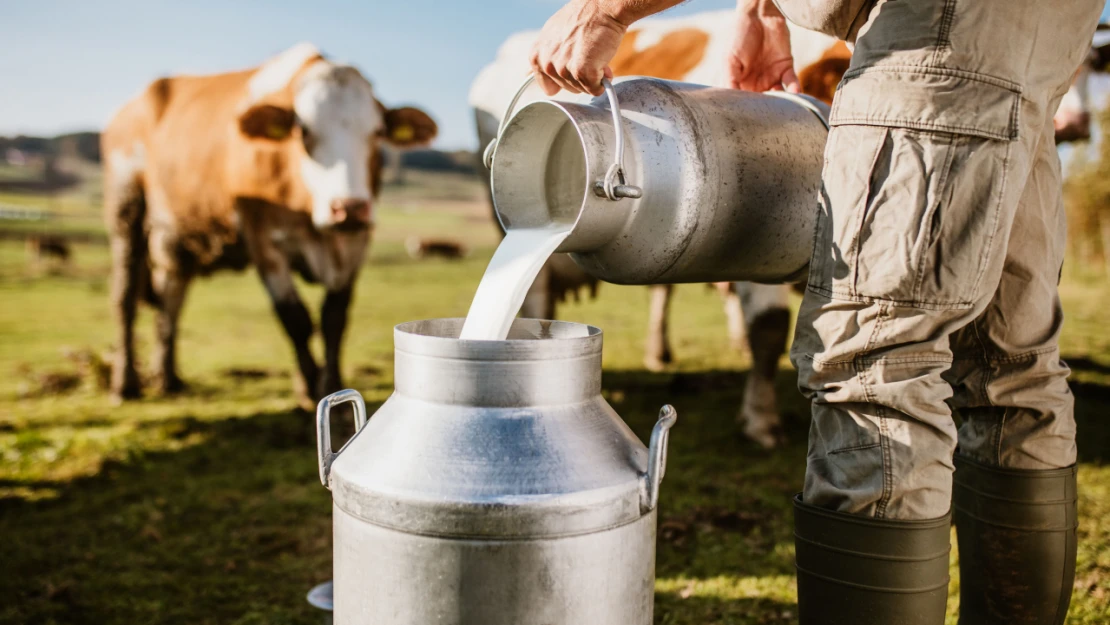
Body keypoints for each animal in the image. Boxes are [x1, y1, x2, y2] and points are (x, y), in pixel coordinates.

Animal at [102, 42, 435, 406]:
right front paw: (310, 390)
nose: (348, 208)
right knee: (124, 298)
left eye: (377, 133)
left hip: (176, 240)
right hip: (127, 210)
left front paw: (331, 386)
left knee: (170, 301)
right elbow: (295, 318)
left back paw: (168, 377)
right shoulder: (263, 241)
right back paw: (125, 383)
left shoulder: (355, 243)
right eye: (303, 131)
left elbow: (334, 318)